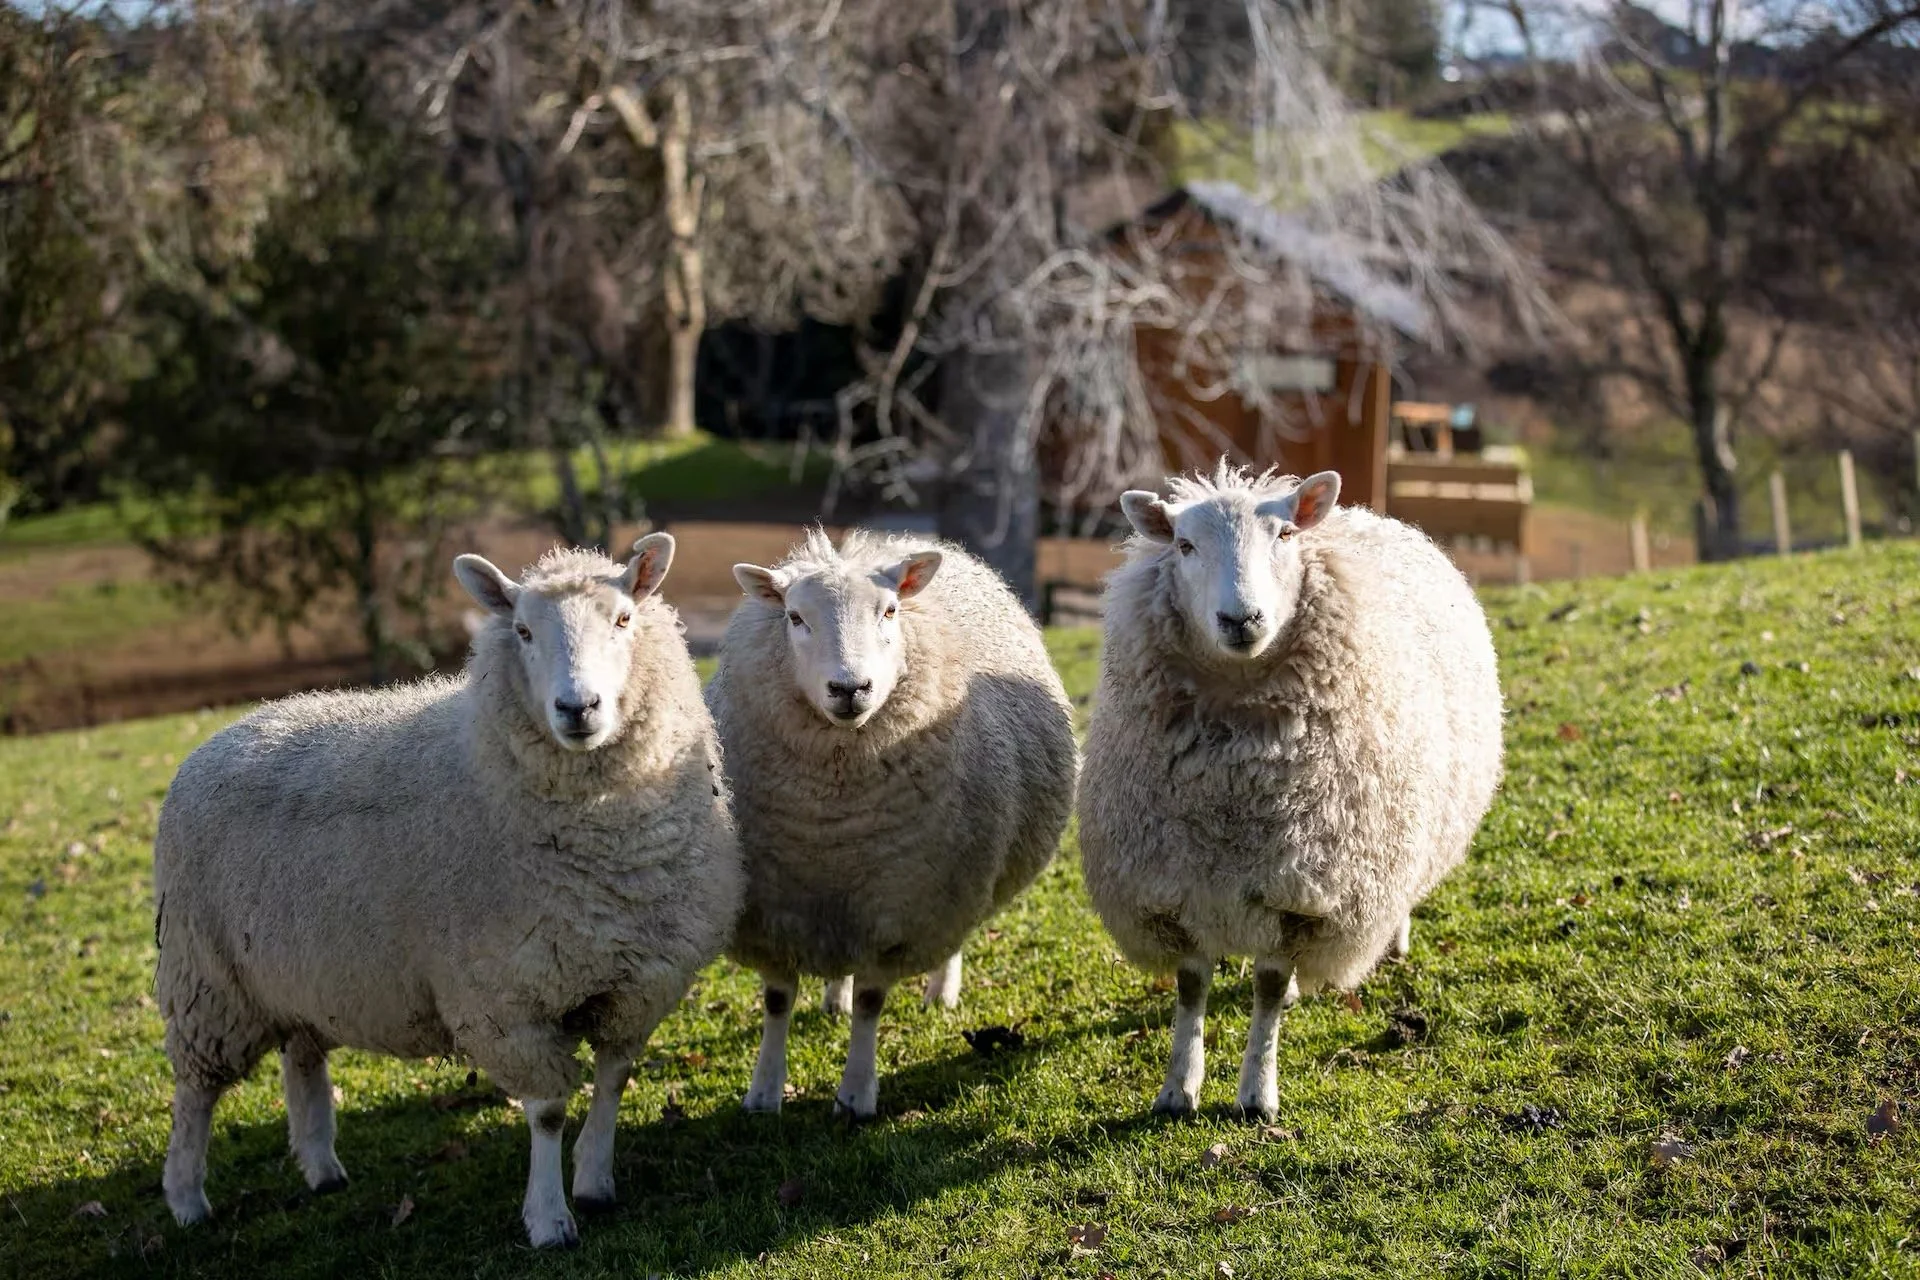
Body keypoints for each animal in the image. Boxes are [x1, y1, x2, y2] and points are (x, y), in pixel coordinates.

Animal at [152, 534, 740, 1248]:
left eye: (624, 619)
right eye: (522, 632)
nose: (578, 709)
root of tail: (227, 732)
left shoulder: (637, 985)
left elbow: (613, 1081)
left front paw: (596, 1182)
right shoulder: (503, 1000)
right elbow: (547, 1111)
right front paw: (548, 1218)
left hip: (296, 971)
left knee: (303, 1056)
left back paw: (321, 1167)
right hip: (207, 982)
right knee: (195, 1094)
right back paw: (187, 1199)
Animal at [708, 528, 1077, 1119]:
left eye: (889, 610)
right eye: (794, 617)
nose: (849, 688)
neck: (833, 822)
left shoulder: (901, 907)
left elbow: (871, 999)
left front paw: (856, 1095)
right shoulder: (775, 912)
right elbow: (778, 1000)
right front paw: (764, 1092)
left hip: (956, 879)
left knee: (950, 940)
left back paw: (940, 992)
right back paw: (832, 998)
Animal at [1078, 463, 1502, 1121]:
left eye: (1282, 535)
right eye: (1184, 545)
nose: (1241, 620)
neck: (1232, 792)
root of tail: (1370, 516)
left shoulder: (1300, 890)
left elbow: (1269, 987)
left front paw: (1257, 1093)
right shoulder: (1175, 885)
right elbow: (1191, 985)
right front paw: (1178, 1089)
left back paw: (1392, 942)